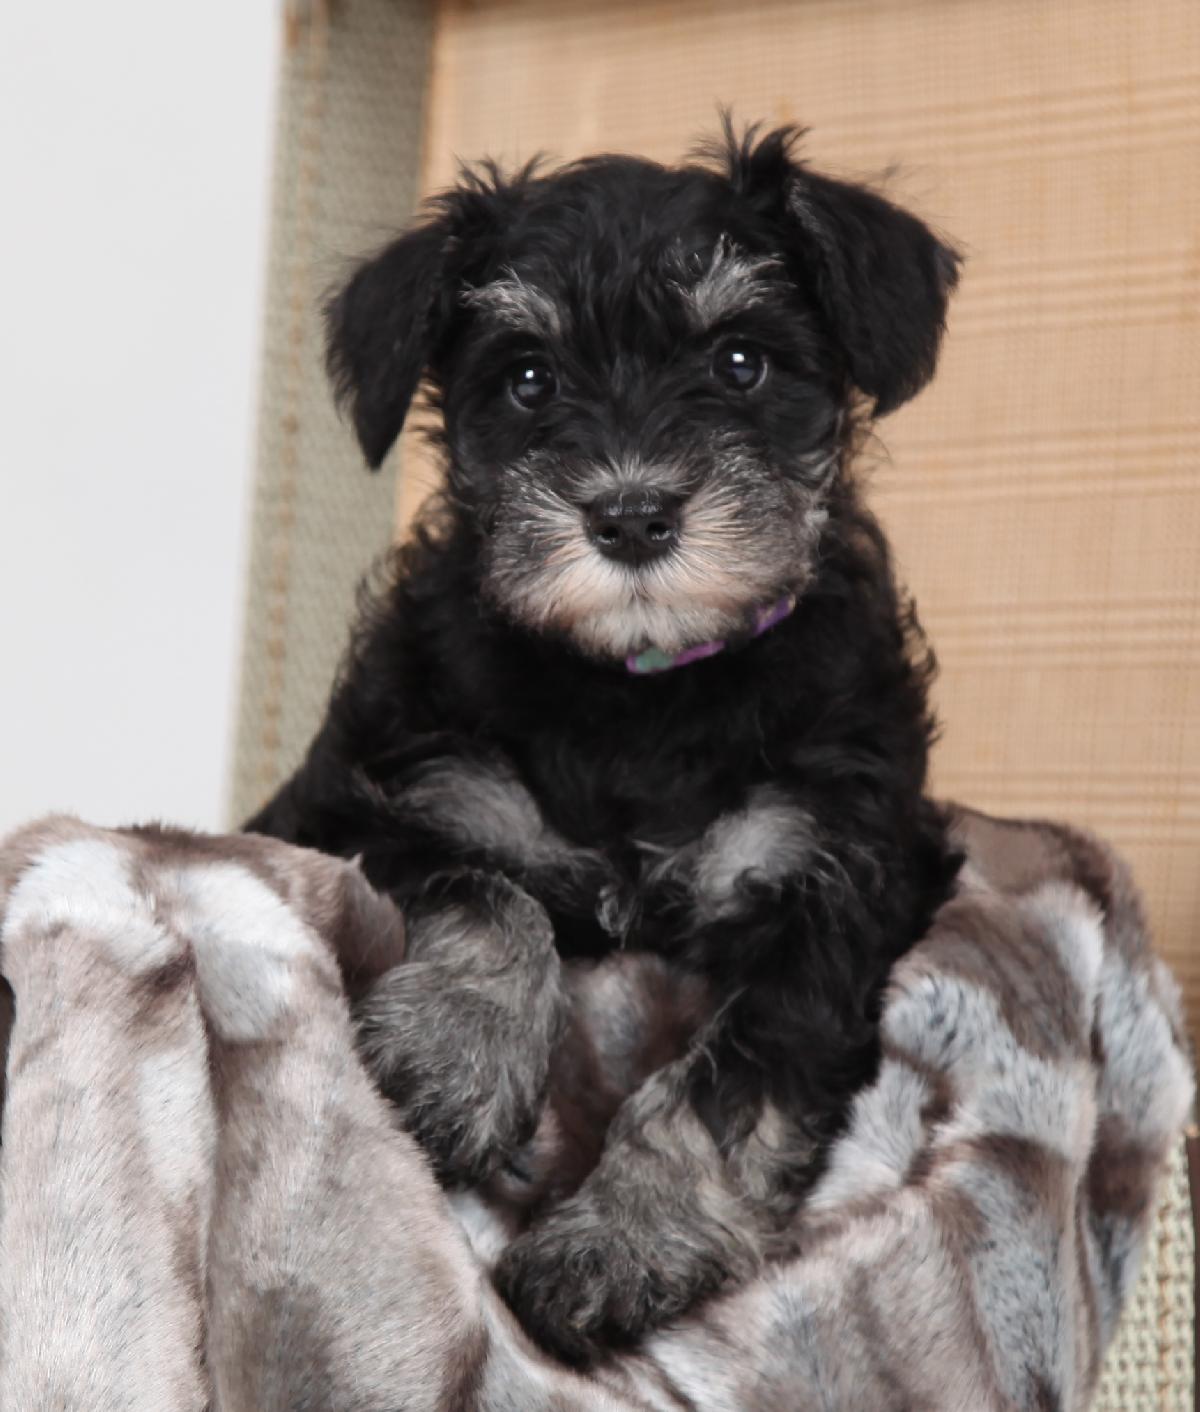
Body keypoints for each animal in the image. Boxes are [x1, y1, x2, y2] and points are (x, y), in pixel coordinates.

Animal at [247, 122, 963, 1365]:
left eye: (741, 363)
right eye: (528, 378)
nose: (630, 516)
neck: (640, 689)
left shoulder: (839, 881)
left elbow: (730, 1076)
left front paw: (619, 1246)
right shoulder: (361, 803)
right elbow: (490, 892)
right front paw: (452, 1063)